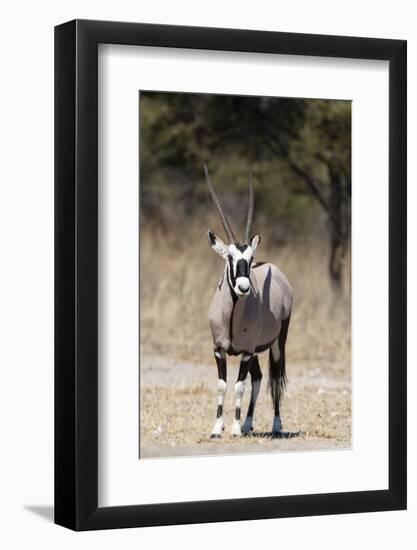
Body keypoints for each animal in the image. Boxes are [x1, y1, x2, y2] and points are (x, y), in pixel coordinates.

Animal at [206, 165, 292, 440]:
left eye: (250, 258)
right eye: (230, 257)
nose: (244, 288)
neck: (232, 316)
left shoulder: (244, 352)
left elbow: (239, 386)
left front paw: (233, 429)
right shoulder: (219, 349)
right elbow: (223, 385)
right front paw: (217, 428)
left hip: (277, 342)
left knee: (274, 377)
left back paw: (275, 425)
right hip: (256, 350)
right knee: (259, 377)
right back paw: (248, 423)